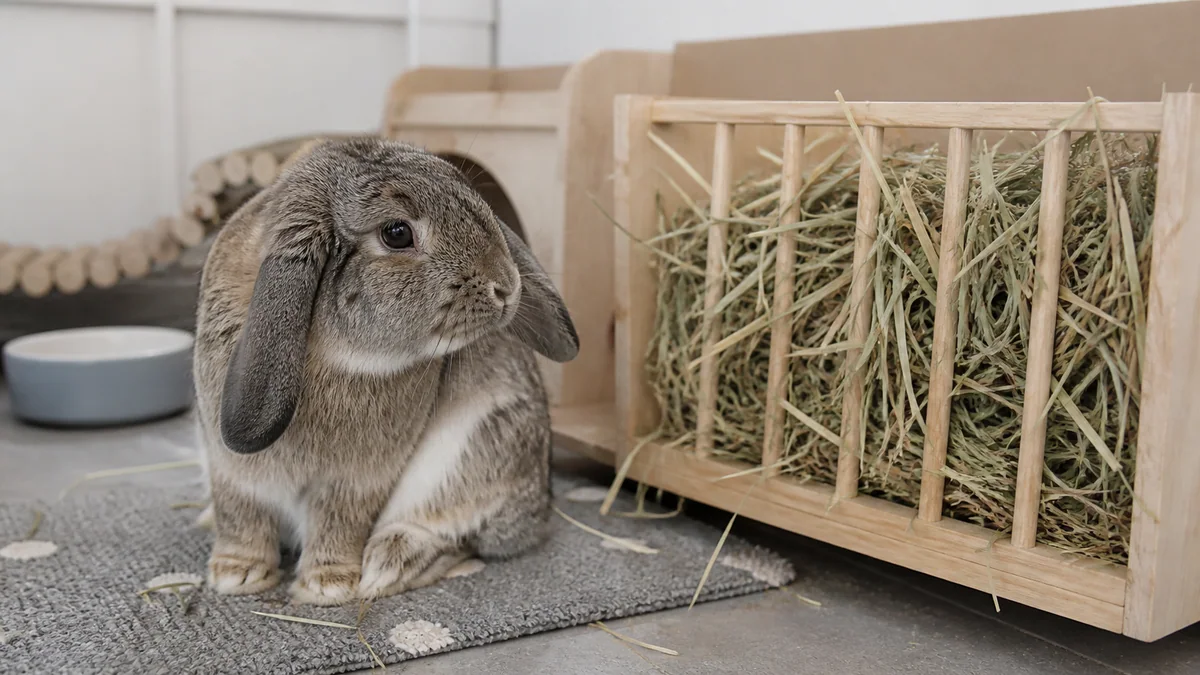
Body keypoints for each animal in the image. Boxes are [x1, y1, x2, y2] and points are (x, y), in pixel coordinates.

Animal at [191, 136, 578, 605]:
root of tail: (539, 508)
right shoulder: (231, 471)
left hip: (465, 457)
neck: (329, 351)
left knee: (457, 533)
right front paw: (236, 575)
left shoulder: (355, 482)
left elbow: (338, 523)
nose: (506, 287)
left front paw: (327, 586)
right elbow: (241, 518)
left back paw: (387, 565)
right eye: (396, 233)